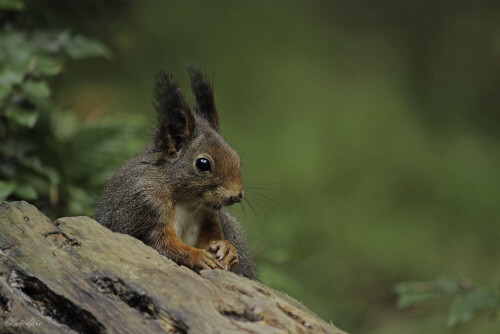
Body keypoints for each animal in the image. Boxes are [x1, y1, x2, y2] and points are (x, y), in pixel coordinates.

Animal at [93, 67, 258, 280]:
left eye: (236, 156)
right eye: (203, 164)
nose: (236, 195)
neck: (188, 201)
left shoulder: (209, 214)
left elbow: (211, 236)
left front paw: (226, 248)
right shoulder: (146, 204)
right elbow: (161, 244)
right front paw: (196, 256)